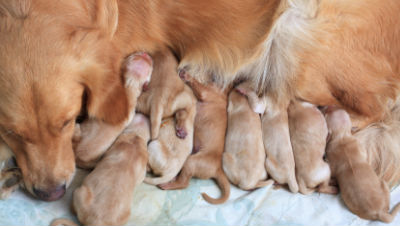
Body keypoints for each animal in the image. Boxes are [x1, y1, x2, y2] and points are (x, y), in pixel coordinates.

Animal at [158, 70, 230, 205]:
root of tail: (218, 169)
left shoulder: (206, 93)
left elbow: (196, 83)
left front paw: (185, 75)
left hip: (191, 162)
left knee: (184, 183)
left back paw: (167, 185)